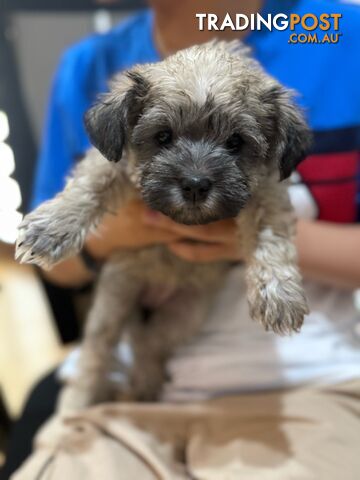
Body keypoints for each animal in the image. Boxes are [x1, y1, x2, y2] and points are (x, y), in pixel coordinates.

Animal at [15, 40, 310, 408]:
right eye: (163, 136)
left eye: (236, 142)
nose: (196, 185)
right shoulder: (113, 163)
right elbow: (88, 187)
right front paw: (51, 227)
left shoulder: (268, 193)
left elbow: (271, 236)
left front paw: (279, 294)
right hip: (113, 303)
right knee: (99, 353)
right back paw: (79, 403)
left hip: (182, 316)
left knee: (147, 345)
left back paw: (144, 386)